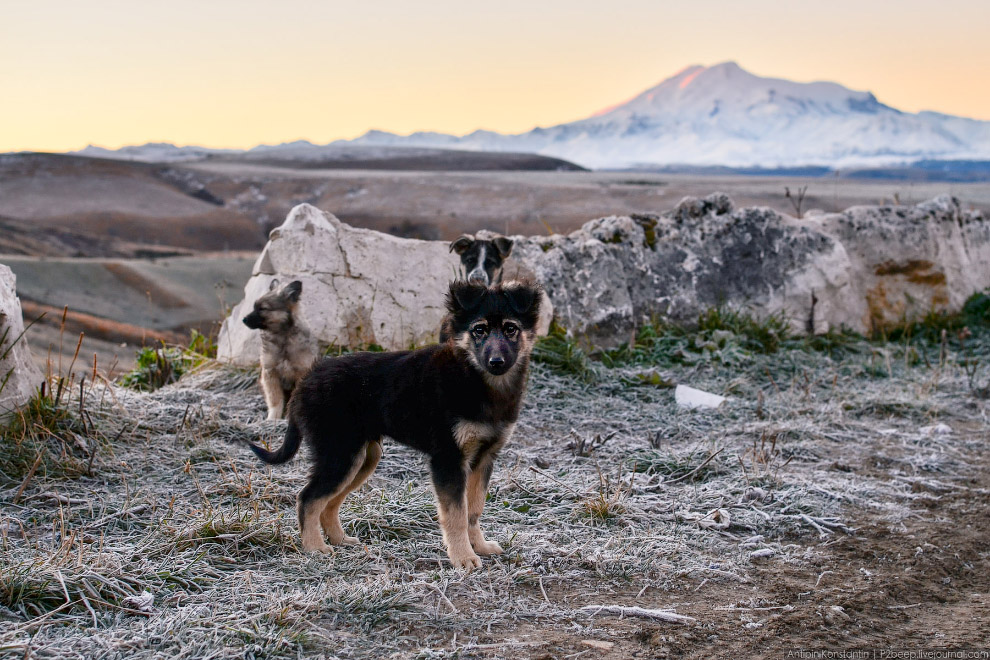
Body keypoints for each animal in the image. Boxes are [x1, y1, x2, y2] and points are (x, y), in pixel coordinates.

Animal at [241, 282, 316, 420]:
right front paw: (273, 418)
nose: (244, 319)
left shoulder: (301, 372)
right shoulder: (270, 373)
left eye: (262, 309)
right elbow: (275, 400)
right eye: (254, 307)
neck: (283, 337)